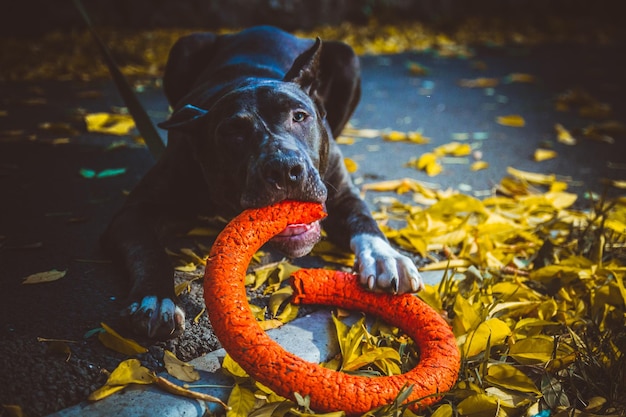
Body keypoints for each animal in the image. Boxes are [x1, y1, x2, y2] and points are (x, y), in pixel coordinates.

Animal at [102, 25, 422, 338]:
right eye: (233, 132)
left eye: (299, 116)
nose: (284, 168)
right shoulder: (134, 210)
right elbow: (148, 251)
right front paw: (155, 298)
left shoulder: (341, 191)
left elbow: (363, 219)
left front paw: (384, 257)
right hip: (185, 45)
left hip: (347, 57)